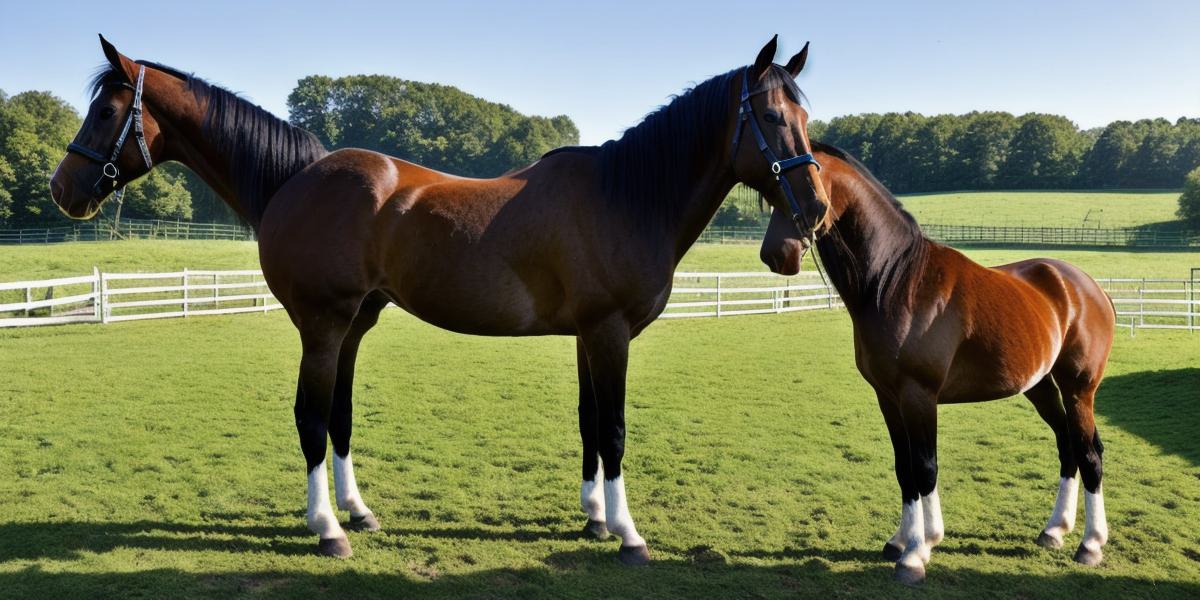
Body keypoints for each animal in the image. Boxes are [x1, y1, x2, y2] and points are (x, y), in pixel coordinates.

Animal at [49, 36, 835, 561]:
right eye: (771, 118)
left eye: (799, 117)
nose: (817, 208)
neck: (628, 195)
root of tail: (298, 179)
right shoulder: (608, 334)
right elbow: (611, 431)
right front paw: (630, 536)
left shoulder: (590, 337)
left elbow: (589, 425)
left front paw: (594, 517)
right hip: (323, 325)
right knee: (311, 418)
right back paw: (327, 530)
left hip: (352, 326)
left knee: (337, 417)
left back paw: (357, 513)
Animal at [758, 142, 1113, 583]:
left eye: (800, 188)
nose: (776, 255)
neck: (896, 281)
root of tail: (1088, 287)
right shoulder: (888, 398)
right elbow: (904, 468)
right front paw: (901, 541)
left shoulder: (919, 396)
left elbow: (925, 467)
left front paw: (918, 552)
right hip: (1041, 387)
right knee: (1067, 447)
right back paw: (1054, 531)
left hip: (1079, 388)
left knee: (1089, 454)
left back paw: (1090, 545)